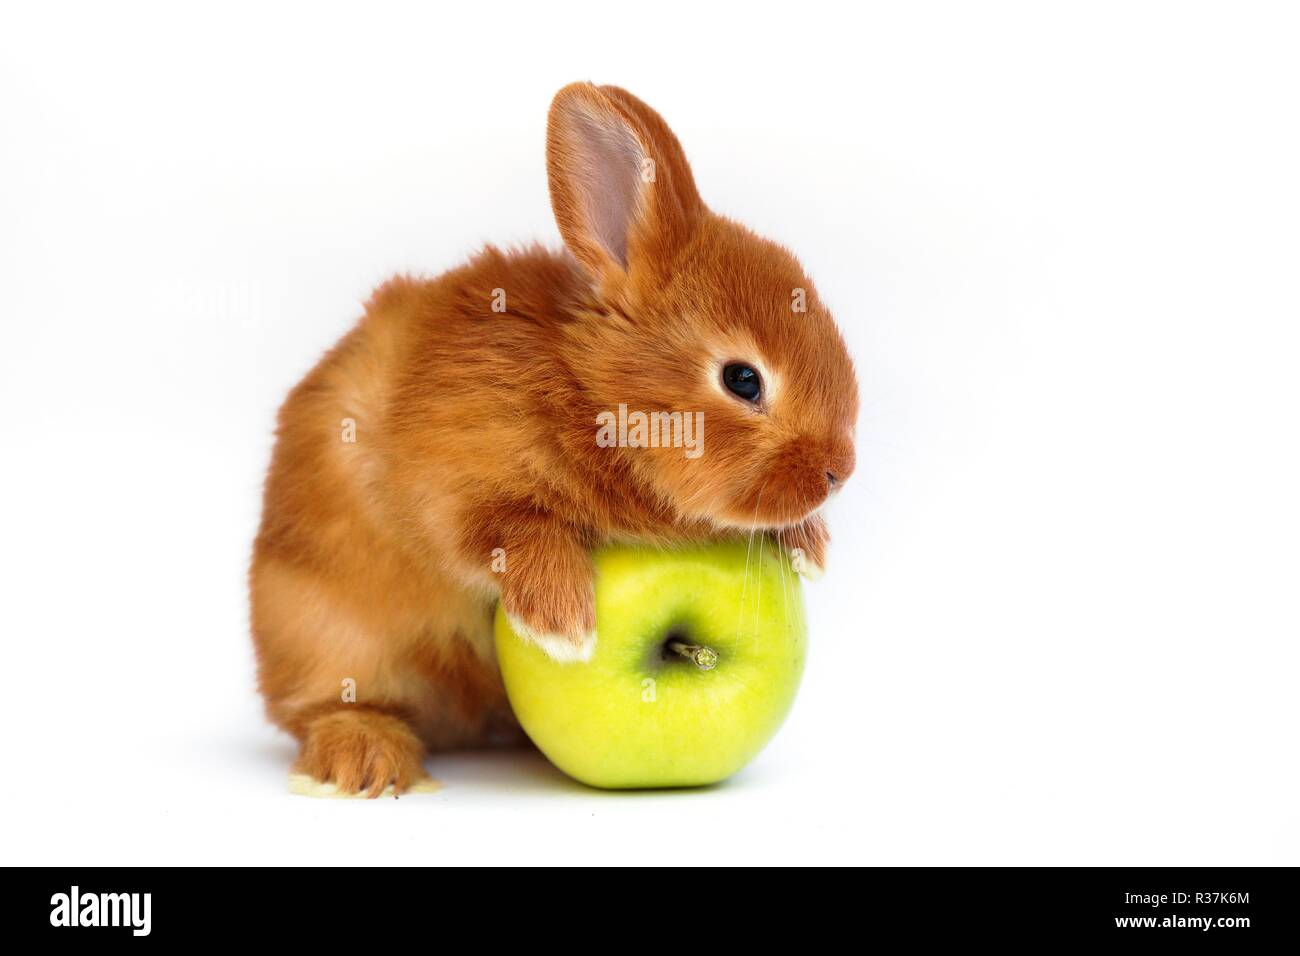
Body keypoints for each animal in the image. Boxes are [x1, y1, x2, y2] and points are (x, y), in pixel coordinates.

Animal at [250, 83, 863, 801]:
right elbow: (508, 527)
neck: (593, 395)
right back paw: (362, 758)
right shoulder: (448, 484)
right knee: (328, 704)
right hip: (325, 631)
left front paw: (809, 547)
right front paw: (562, 621)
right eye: (742, 379)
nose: (839, 470)